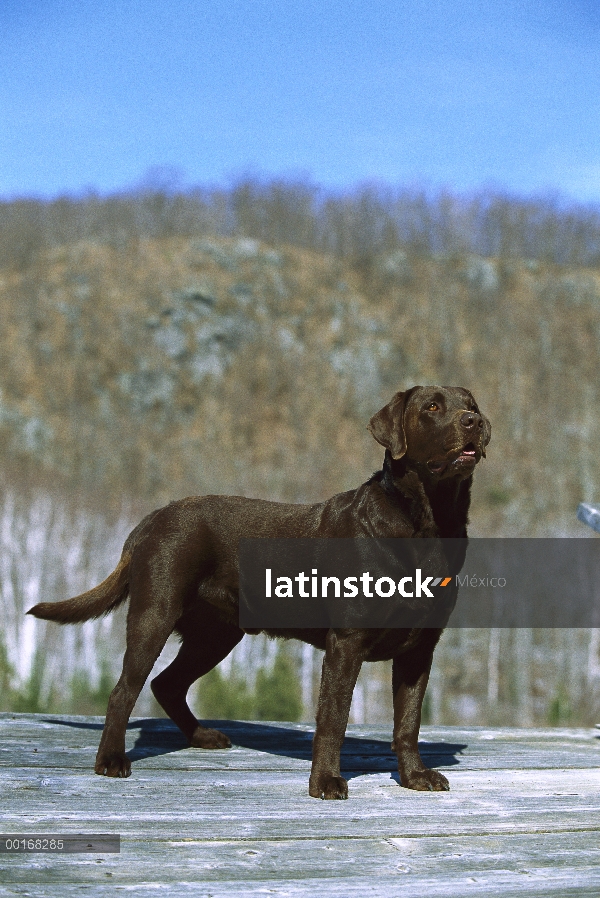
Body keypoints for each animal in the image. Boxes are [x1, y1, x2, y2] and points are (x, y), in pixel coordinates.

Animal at [29, 384, 488, 800]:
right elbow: (333, 719)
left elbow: (408, 722)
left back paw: (202, 736)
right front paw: (325, 782)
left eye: (471, 404)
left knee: (167, 683)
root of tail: (151, 518)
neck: (428, 524)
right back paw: (110, 760)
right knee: (125, 689)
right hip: (154, 614)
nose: (475, 422)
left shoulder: (420, 648)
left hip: (216, 634)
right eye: (432, 407)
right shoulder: (347, 643)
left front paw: (415, 777)